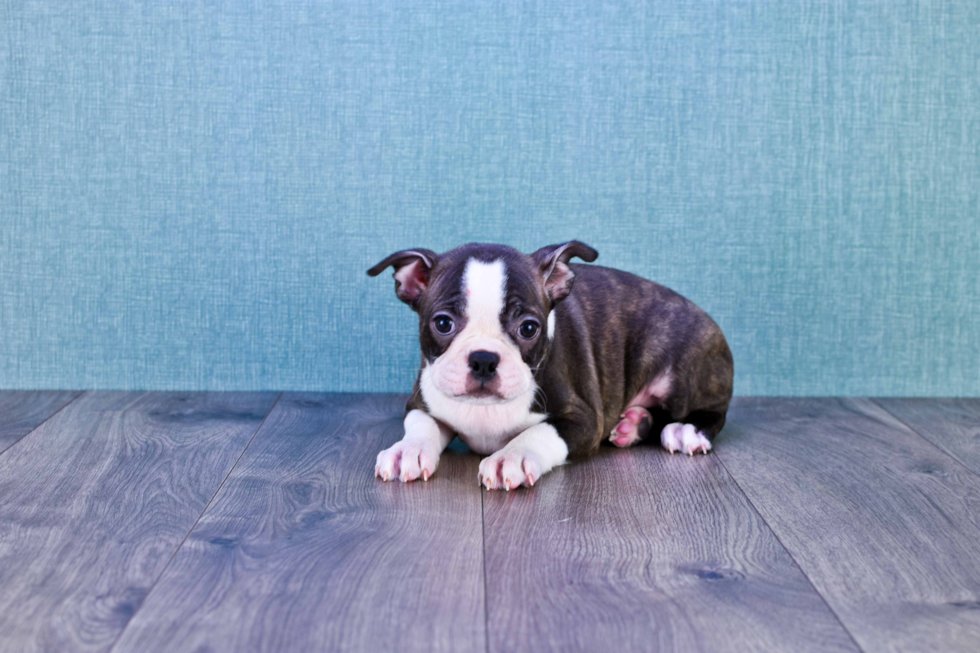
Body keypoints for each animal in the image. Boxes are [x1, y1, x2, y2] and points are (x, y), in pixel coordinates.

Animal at [370, 243, 736, 488]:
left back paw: (686, 429)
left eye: (529, 328)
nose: (484, 359)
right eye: (443, 323)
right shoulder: (421, 401)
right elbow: (421, 424)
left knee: (712, 411)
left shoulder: (585, 419)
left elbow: (541, 432)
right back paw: (635, 424)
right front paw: (407, 450)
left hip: (683, 365)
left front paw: (511, 457)